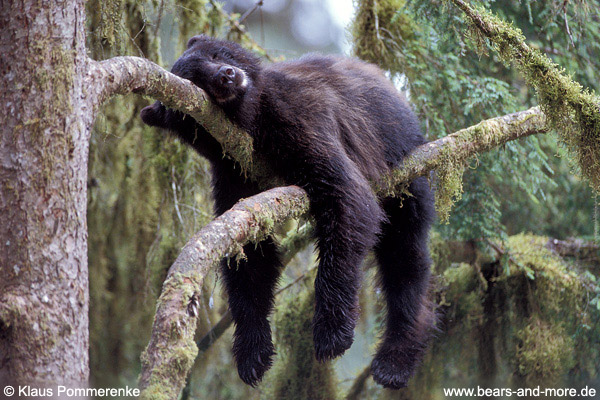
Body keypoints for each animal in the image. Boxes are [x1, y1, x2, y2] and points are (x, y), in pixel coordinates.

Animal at [143, 36, 438, 390]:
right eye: (194, 81)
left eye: (215, 54)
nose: (227, 75)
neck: (251, 121)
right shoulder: (235, 174)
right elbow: (251, 257)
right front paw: (252, 352)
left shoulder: (299, 118)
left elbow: (349, 199)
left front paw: (331, 332)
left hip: (407, 173)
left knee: (404, 258)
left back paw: (394, 360)